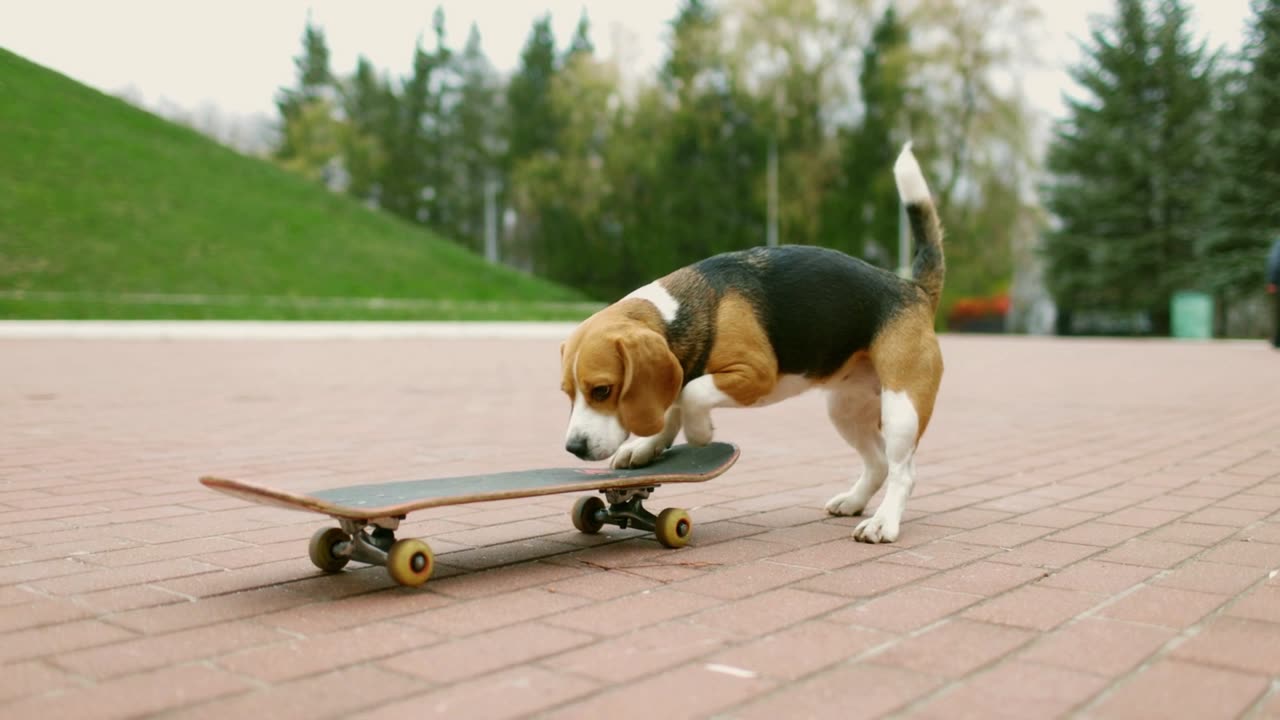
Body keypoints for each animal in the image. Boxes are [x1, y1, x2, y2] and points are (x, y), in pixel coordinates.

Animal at [558, 142, 942, 540]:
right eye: (567, 393)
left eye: (602, 390)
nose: (574, 447)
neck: (687, 309)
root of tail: (913, 288)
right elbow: (675, 400)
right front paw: (647, 446)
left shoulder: (756, 373)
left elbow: (691, 392)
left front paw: (699, 433)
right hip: (845, 410)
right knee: (878, 463)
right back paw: (853, 501)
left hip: (901, 409)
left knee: (903, 471)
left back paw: (883, 522)